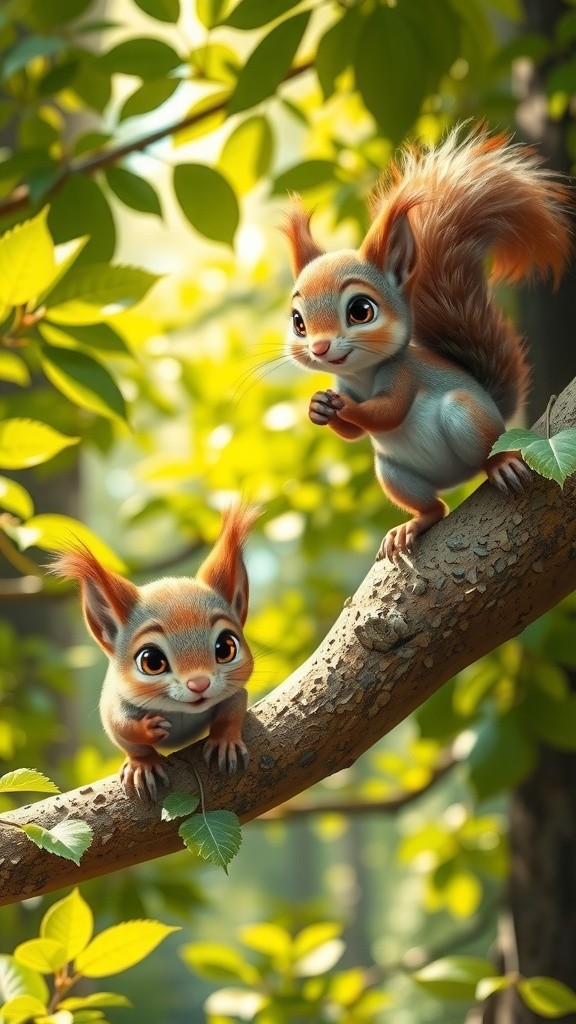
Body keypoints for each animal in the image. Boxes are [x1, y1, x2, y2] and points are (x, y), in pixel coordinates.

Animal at [51, 503, 259, 800]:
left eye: (226, 647)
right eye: (151, 661)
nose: (199, 684)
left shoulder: (234, 692)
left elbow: (233, 709)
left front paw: (225, 741)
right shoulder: (114, 705)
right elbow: (122, 728)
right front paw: (147, 740)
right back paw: (143, 765)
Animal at [282, 126, 572, 560]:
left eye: (361, 310)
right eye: (298, 322)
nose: (319, 349)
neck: (363, 373)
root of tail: (456, 478)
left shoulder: (404, 371)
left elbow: (388, 412)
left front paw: (345, 408)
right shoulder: (345, 381)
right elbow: (353, 433)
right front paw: (319, 408)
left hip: (469, 418)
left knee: (482, 453)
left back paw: (499, 464)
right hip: (393, 471)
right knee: (435, 507)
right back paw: (413, 524)